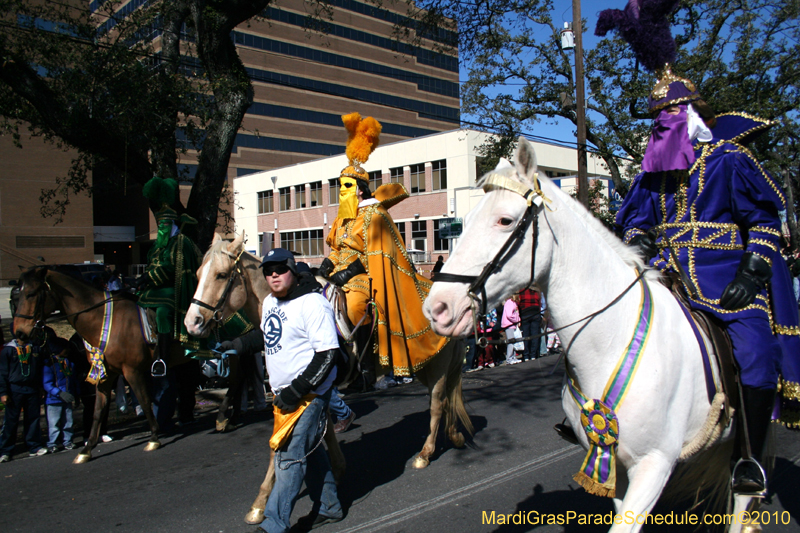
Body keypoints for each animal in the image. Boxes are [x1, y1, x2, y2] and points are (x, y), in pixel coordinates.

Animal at [12, 266, 166, 462]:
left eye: (31, 293)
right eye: (17, 296)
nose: (19, 332)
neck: (107, 320)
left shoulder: (133, 371)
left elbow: (145, 401)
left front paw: (154, 437)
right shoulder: (106, 374)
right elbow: (98, 411)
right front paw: (87, 449)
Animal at [186, 234, 476, 524]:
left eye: (222, 275)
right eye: (198, 274)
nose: (192, 322)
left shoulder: (301, 389)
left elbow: (281, 444)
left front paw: (259, 503)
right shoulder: (316, 390)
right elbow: (322, 434)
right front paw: (336, 471)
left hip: (438, 365)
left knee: (438, 405)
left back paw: (425, 453)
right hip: (425, 367)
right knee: (446, 401)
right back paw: (454, 436)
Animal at [422, 138, 760, 532]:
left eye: (504, 220)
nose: (437, 308)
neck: (612, 341)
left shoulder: (655, 463)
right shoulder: (619, 468)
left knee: (743, 494)